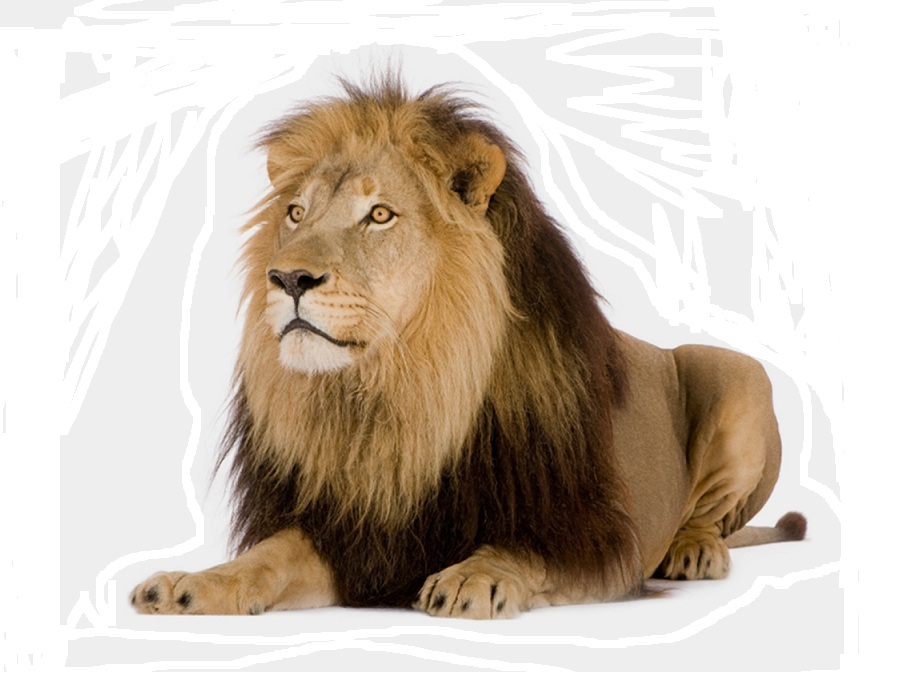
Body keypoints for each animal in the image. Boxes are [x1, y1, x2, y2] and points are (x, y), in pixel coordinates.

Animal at [131, 77, 806, 619]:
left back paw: (693, 549)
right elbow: (268, 555)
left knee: (711, 514)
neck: (397, 390)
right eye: (296, 213)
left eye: (379, 215)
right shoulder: (354, 537)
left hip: (737, 370)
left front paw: (472, 577)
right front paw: (193, 583)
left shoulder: (598, 539)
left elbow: (520, 550)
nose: (288, 278)